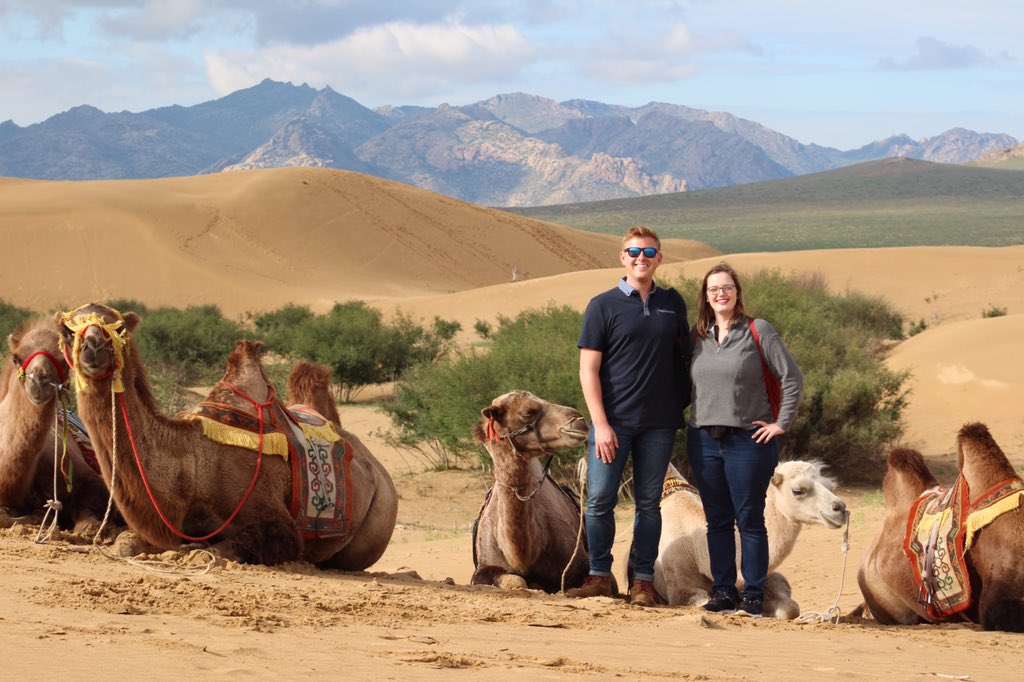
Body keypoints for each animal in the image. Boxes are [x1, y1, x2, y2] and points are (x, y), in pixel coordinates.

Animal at [55, 303, 399, 569]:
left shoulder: (277, 524)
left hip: (376, 525)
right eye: (69, 331)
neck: (192, 464)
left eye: (119, 327)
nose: (94, 348)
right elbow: (126, 542)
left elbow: (219, 549)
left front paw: (196, 552)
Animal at [655, 456, 847, 614]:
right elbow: (701, 599)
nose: (840, 508)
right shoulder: (679, 588)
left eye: (829, 486)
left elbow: (791, 607)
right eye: (798, 490)